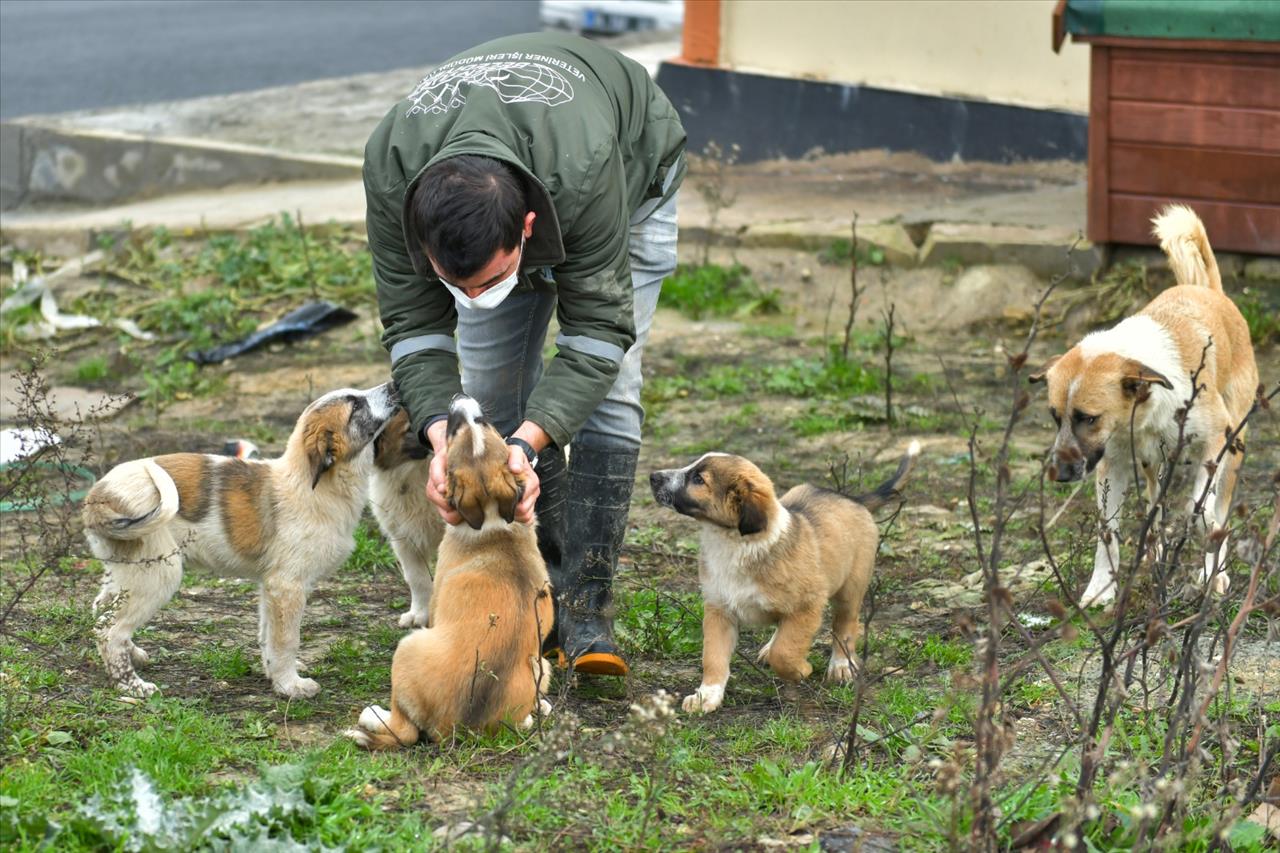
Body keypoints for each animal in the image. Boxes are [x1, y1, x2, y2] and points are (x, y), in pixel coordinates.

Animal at [85, 381, 394, 696]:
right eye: (355, 405)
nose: (393, 384)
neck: (311, 484)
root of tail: (98, 496)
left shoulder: (271, 587)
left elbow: (269, 636)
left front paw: (275, 674)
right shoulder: (287, 586)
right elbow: (286, 640)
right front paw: (290, 685)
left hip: (126, 572)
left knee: (101, 612)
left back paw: (132, 653)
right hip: (158, 572)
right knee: (111, 630)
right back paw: (132, 686)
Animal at [655, 440, 916, 712]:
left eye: (698, 479)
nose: (653, 476)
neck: (735, 544)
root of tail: (852, 498)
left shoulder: (808, 606)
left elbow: (785, 652)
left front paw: (801, 669)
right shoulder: (719, 609)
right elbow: (713, 657)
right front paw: (706, 696)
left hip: (851, 589)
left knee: (844, 626)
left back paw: (841, 664)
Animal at [1029, 204, 1259, 604]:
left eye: (1088, 418)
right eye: (1055, 418)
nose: (1058, 474)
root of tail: (1210, 291)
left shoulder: (1216, 439)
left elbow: (1201, 510)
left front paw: (1208, 558)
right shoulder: (1113, 463)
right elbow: (1107, 533)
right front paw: (1101, 590)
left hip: (1234, 449)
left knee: (1219, 509)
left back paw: (1212, 572)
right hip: (1154, 463)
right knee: (1155, 503)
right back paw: (1157, 554)